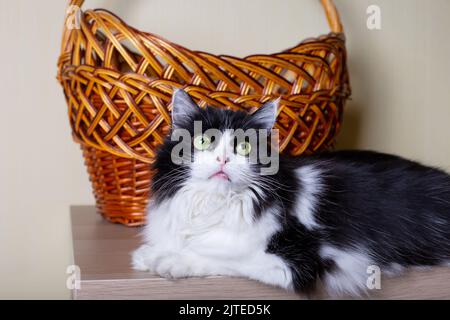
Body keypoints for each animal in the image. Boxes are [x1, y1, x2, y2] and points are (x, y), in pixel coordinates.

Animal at [132, 89, 450, 296]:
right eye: (202, 141)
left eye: (244, 147)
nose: (223, 159)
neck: (214, 204)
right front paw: (150, 254)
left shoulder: (300, 261)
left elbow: (223, 257)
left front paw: (169, 260)